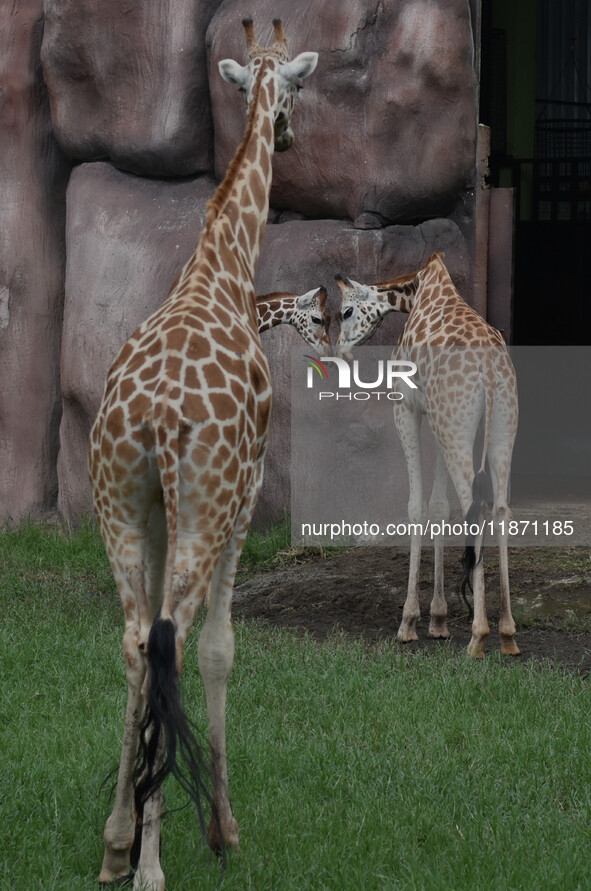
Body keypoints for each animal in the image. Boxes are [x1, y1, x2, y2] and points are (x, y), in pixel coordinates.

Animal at [89, 20, 316, 891]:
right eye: (299, 90)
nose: (288, 134)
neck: (220, 262)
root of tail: (156, 415)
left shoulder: (155, 509)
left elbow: (144, 647)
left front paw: (121, 834)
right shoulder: (244, 494)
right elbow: (222, 648)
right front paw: (224, 828)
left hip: (119, 503)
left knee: (135, 639)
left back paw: (120, 844)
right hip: (206, 503)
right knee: (178, 641)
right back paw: (156, 863)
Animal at [336, 254, 520, 660]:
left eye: (345, 311)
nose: (339, 351)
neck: (419, 286)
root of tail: (488, 369)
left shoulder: (406, 407)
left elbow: (416, 506)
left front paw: (409, 623)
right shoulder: (437, 420)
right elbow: (438, 506)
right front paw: (438, 620)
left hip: (457, 425)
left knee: (474, 507)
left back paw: (479, 635)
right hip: (498, 425)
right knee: (500, 508)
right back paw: (507, 633)